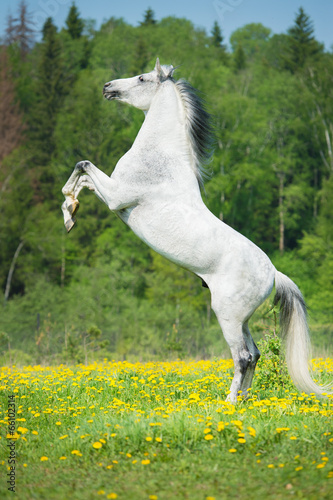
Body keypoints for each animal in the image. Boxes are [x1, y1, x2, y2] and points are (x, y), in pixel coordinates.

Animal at [61, 58, 330, 402]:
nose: (108, 87)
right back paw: (243, 399)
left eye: (142, 78)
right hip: (242, 320)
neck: (160, 159)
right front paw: (70, 212)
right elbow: (82, 175)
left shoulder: (116, 197)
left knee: (243, 356)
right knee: (255, 354)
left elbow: (82, 166)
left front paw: (69, 213)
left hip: (227, 315)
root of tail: (273, 274)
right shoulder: (111, 194)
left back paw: (228, 403)